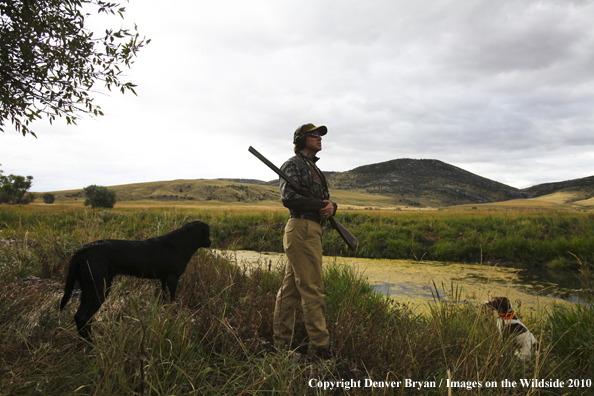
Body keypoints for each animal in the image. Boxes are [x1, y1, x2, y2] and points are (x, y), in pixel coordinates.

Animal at [59, 221, 210, 338]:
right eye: (208, 233)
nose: (210, 242)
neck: (183, 242)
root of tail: (81, 251)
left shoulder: (163, 279)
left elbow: (164, 299)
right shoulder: (173, 278)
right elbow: (172, 300)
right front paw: (174, 316)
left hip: (87, 287)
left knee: (82, 316)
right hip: (98, 286)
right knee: (82, 317)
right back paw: (91, 343)